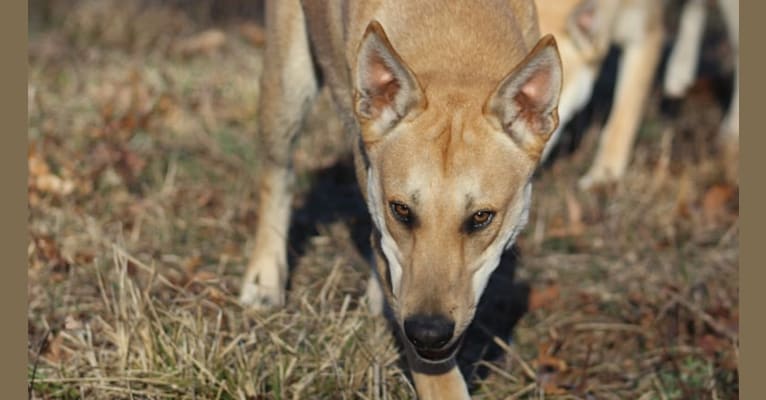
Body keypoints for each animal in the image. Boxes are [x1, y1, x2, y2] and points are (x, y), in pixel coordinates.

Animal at [240, 1, 564, 398]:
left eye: (481, 217)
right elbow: (438, 377)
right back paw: (263, 282)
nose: (428, 331)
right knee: (277, 176)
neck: (454, 43)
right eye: (401, 210)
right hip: (288, 82)